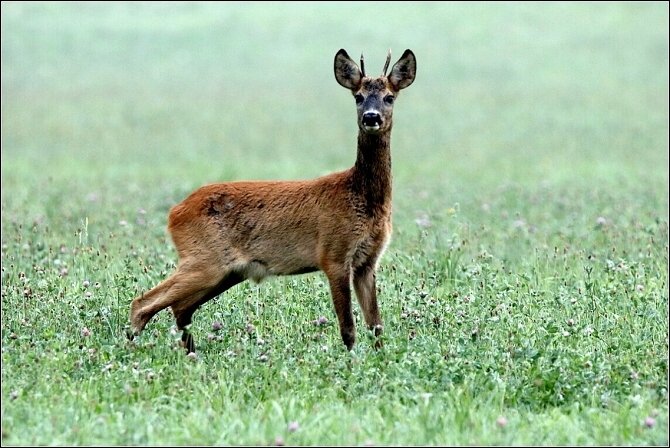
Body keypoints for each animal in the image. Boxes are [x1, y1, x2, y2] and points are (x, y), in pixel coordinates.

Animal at [128, 48, 416, 353]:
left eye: (389, 97)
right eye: (358, 96)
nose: (371, 117)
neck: (362, 198)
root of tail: (174, 212)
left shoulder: (368, 261)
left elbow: (376, 325)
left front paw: (380, 359)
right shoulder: (333, 254)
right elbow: (348, 328)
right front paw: (352, 361)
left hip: (226, 271)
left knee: (180, 308)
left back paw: (188, 353)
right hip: (203, 259)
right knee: (143, 303)